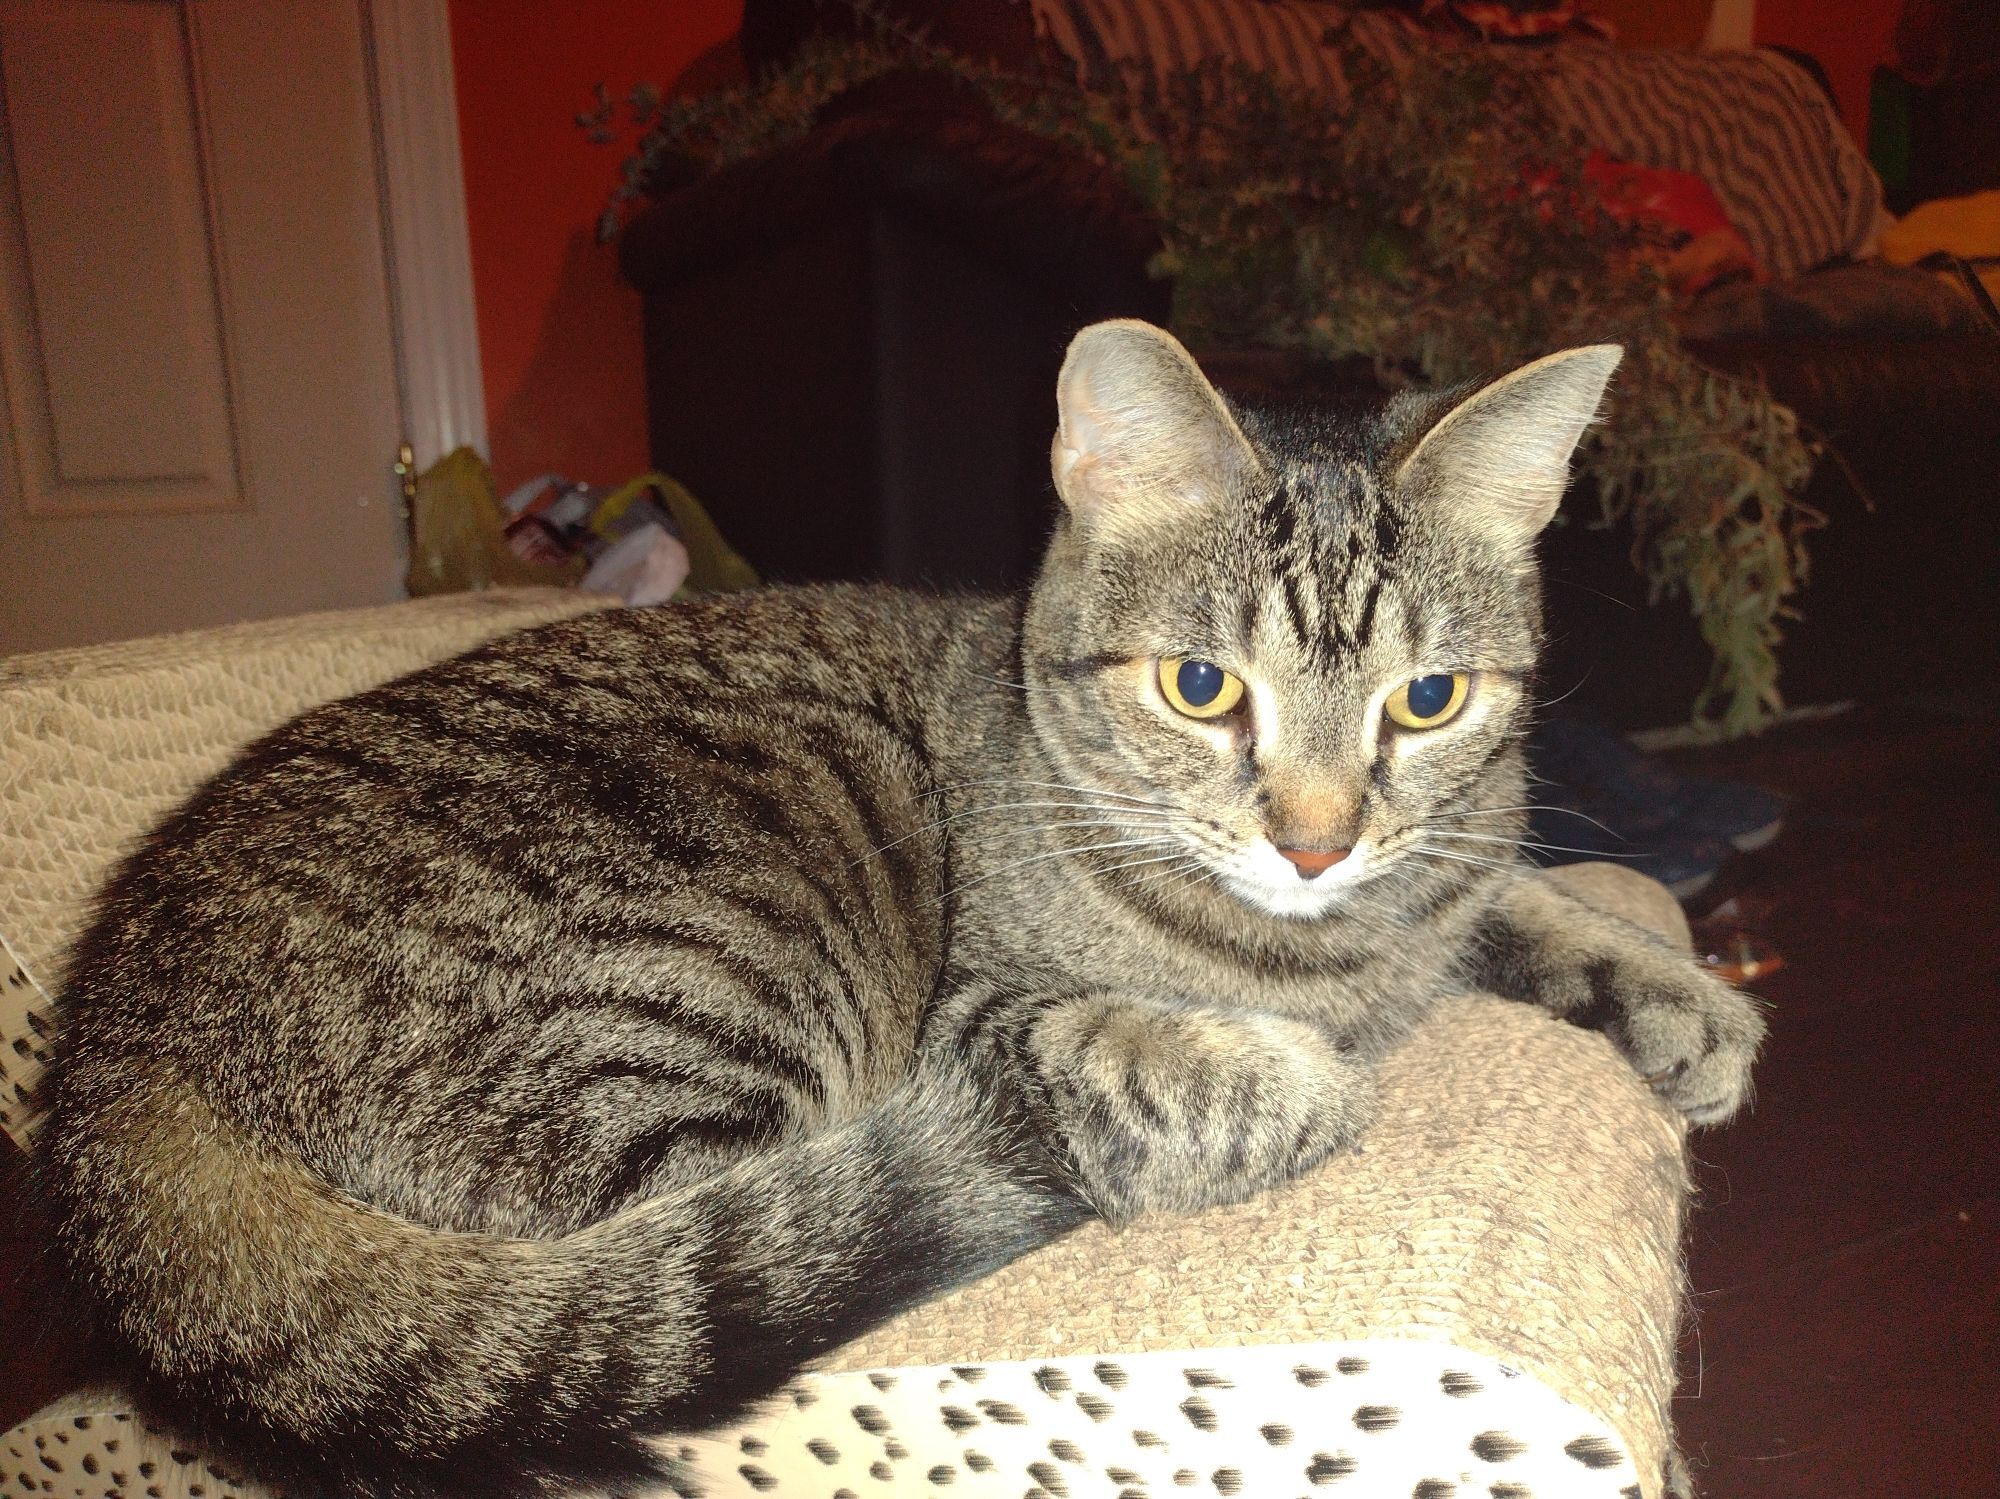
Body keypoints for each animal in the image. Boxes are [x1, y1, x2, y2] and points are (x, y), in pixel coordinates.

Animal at [39, 319, 1768, 1499]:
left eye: (1431, 697)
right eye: (1202, 687)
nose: (1317, 840)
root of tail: (117, 1049)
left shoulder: (1430, 876)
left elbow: (1504, 894)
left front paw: (1665, 987)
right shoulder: (990, 1014)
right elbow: (1134, 1054)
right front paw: (1283, 1068)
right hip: (702, 971)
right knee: (725, 1240)